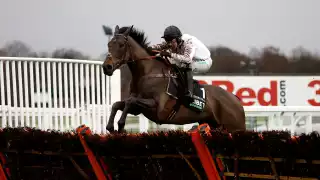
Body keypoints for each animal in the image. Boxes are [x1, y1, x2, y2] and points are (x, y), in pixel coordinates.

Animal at [102, 24, 245, 133]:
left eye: (121, 45)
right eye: (109, 44)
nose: (106, 67)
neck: (146, 73)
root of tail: (236, 99)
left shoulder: (158, 107)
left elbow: (130, 101)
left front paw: (121, 125)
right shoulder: (139, 109)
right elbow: (117, 104)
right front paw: (111, 127)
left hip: (235, 128)